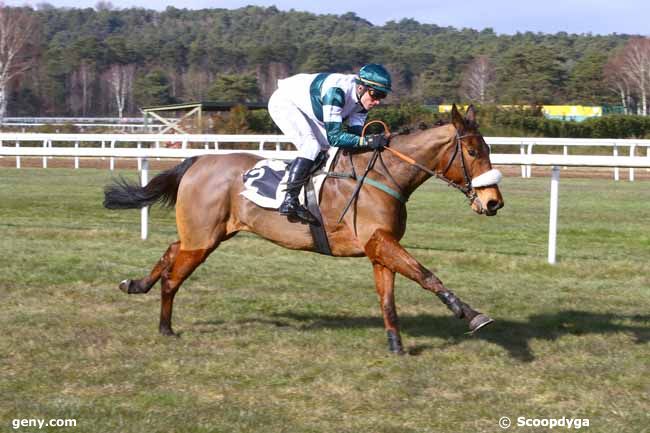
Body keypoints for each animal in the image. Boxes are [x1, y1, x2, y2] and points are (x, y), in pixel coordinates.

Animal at [104, 104, 504, 354]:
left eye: (487, 148)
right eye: (472, 151)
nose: (493, 202)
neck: (382, 175)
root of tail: (197, 160)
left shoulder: (380, 249)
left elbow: (388, 299)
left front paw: (396, 345)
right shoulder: (379, 242)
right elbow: (426, 275)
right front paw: (472, 314)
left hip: (206, 233)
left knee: (171, 251)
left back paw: (135, 284)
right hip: (203, 238)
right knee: (174, 276)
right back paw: (165, 327)